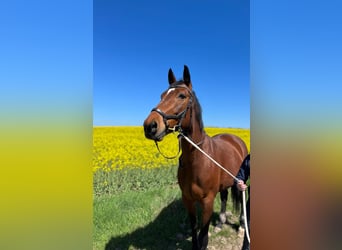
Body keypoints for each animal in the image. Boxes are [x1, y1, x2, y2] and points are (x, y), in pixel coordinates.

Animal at [143, 65, 247, 249]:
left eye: (182, 96)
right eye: (162, 95)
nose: (150, 126)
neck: (197, 159)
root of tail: (236, 139)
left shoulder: (207, 201)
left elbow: (203, 236)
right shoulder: (188, 199)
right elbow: (193, 230)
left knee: (241, 201)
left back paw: (241, 226)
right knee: (224, 197)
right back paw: (220, 223)